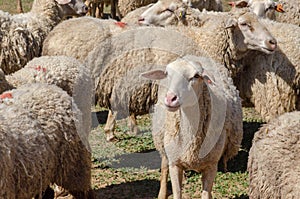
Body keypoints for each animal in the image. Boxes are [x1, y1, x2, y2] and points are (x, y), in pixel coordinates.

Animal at [141, 54, 244, 199]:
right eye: (167, 73)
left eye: (196, 76)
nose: (170, 98)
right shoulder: (175, 164)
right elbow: (177, 193)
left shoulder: (211, 165)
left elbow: (206, 194)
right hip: (163, 143)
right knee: (164, 167)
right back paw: (161, 194)